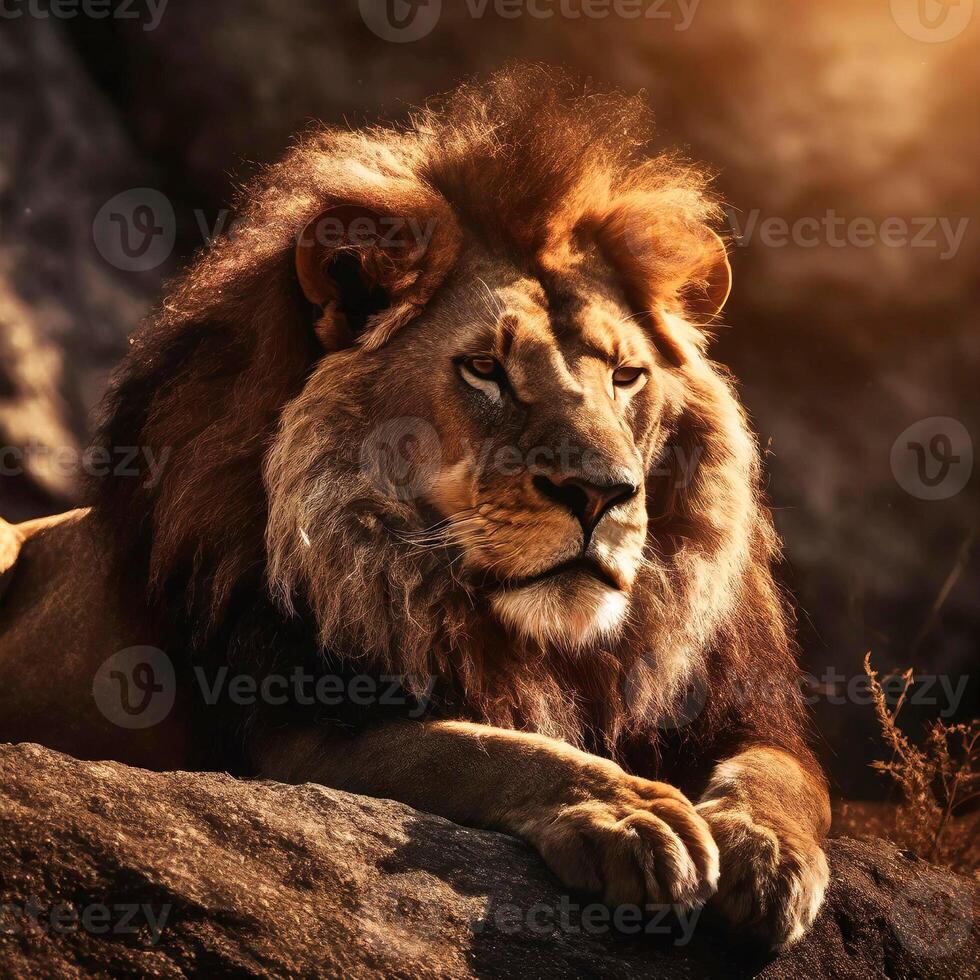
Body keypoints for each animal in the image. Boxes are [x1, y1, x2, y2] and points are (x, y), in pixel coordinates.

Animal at [0, 69, 828, 948]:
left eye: (626, 376)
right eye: (484, 370)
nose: (601, 492)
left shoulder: (734, 711)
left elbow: (786, 776)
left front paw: (768, 853)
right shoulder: (294, 739)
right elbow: (479, 749)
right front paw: (630, 812)